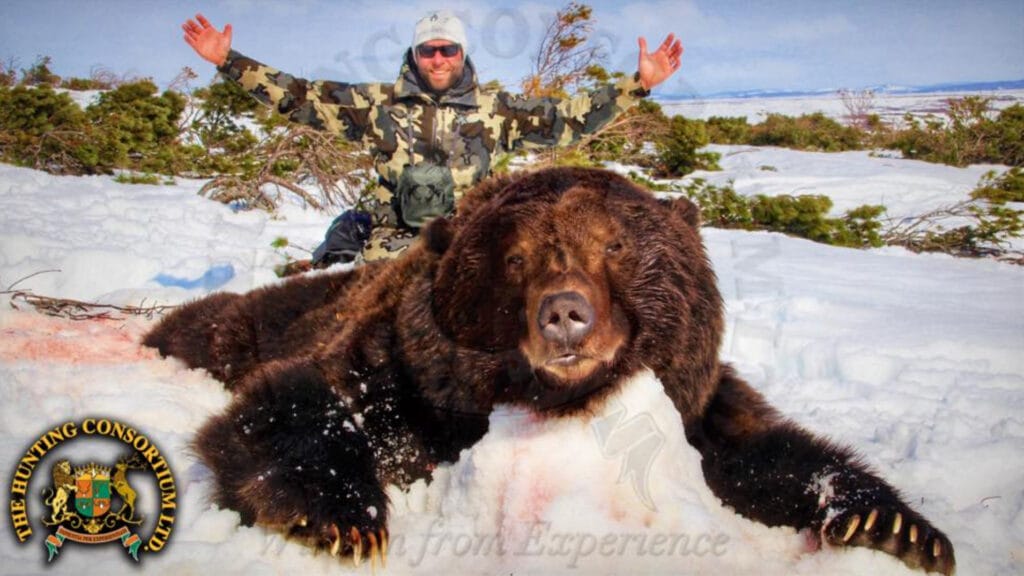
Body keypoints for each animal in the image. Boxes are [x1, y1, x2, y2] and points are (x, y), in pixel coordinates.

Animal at [144, 166, 955, 574]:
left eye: (616, 246)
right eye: (514, 258)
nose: (566, 313)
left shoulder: (693, 401)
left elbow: (764, 453)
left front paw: (894, 523)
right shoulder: (404, 380)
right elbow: (292, 409)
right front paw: (345, 516)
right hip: (251, 321)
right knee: (212, 325)